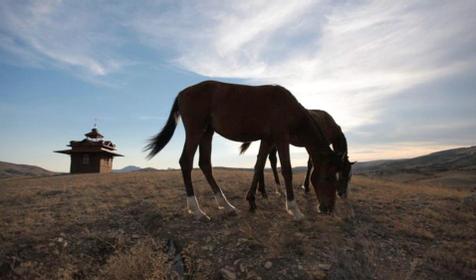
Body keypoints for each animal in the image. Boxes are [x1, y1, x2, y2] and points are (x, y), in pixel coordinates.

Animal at [145, 80, 342, 220]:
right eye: (328, 177)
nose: (328, 209)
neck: (288, 107)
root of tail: (182, 93)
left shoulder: (267, 139)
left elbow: (259, 165)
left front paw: (252, 200)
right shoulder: (281, 137)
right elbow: (286, 170)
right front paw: (294, 209)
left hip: (207, 133)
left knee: (205, 164)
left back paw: (226, 205)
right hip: (196, 131)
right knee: (186, 162)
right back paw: (197, 210)